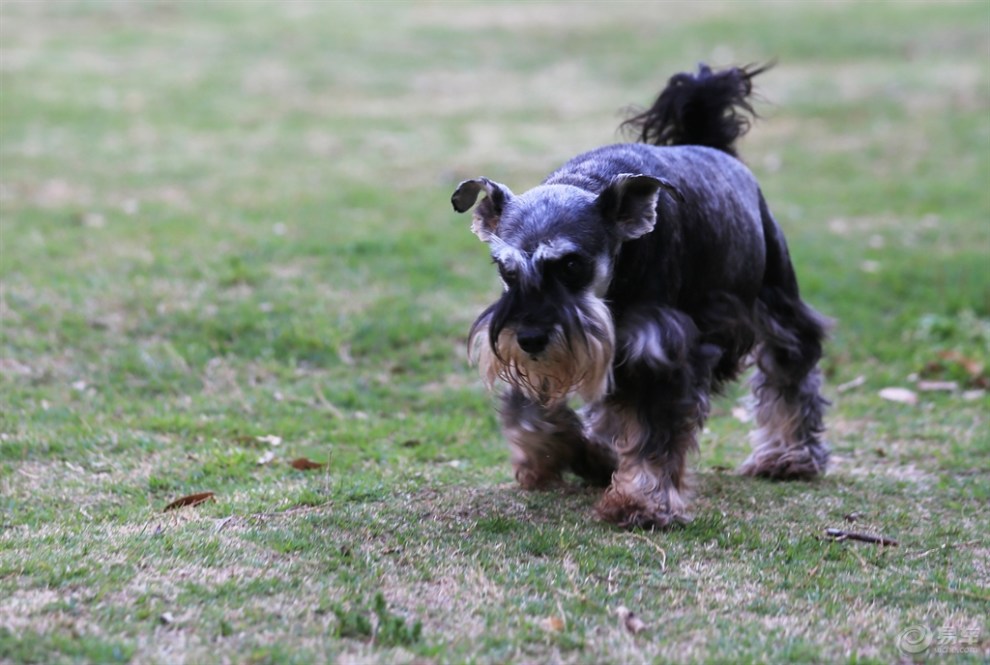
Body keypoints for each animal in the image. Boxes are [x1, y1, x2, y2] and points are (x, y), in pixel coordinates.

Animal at [454, 63, 832, 528]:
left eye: (572, 265)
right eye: (505, 269)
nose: (530, 338)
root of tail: (710, 144)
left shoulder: (660, 350)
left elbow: (655, 430)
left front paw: (641, 501)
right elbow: (530, 411)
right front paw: (556, 453)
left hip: (775, 300)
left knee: (791, 369)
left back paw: (789, 457)